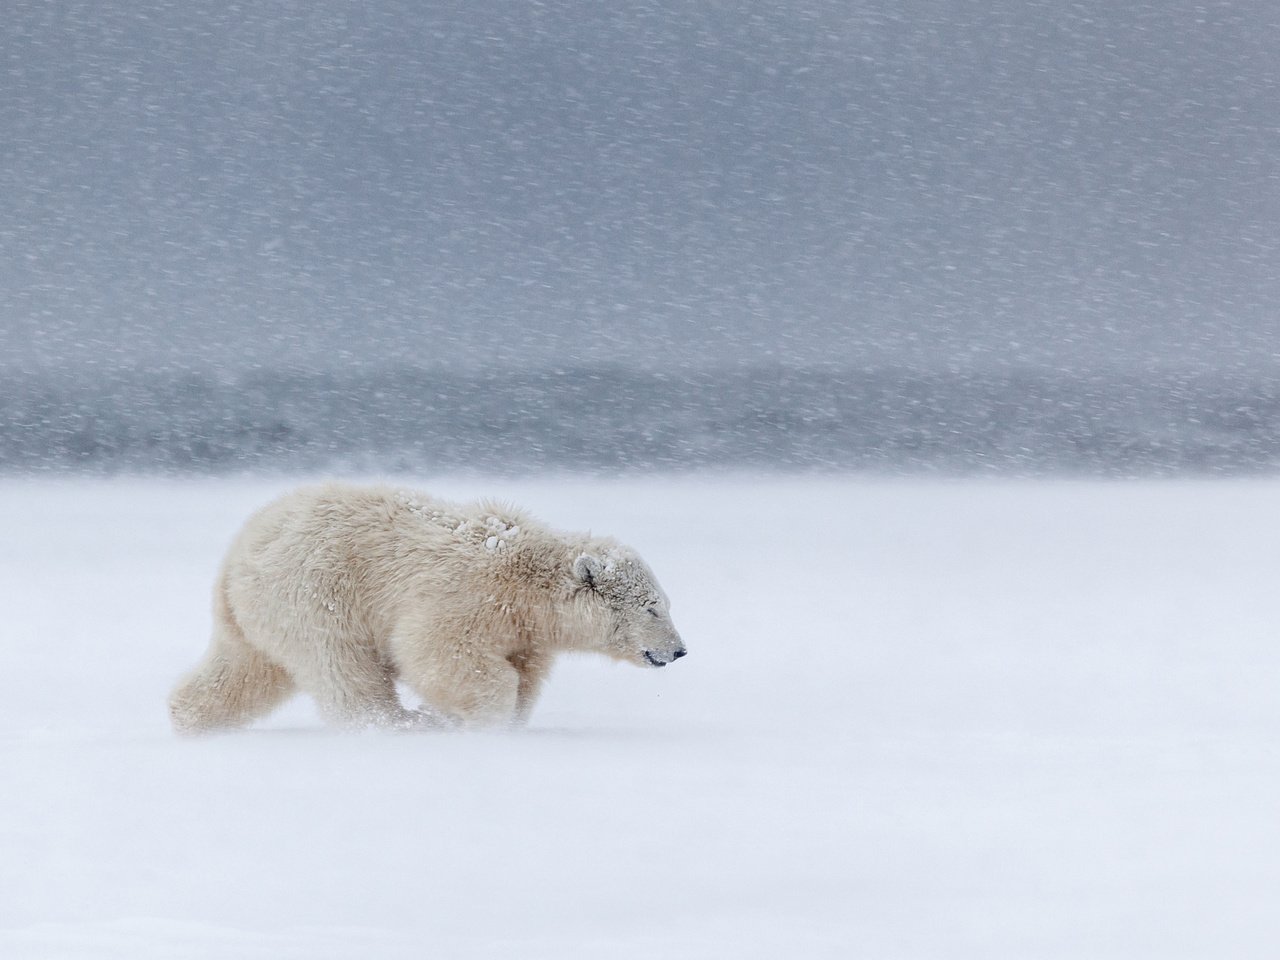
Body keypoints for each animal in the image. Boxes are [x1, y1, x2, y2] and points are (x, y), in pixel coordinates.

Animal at [171, 483, 691, 732]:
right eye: (653, 609)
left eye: (666, 604)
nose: (679, 650)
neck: (527, 583)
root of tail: (237, 555)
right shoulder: (464, 597)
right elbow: (435, 652)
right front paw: (468, 719)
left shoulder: (524, 631)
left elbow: (524, 675)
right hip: (315, 594)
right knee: (343, 669)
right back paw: (399, 724)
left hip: (254, 616)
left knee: (242, 670)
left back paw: (189, 719)